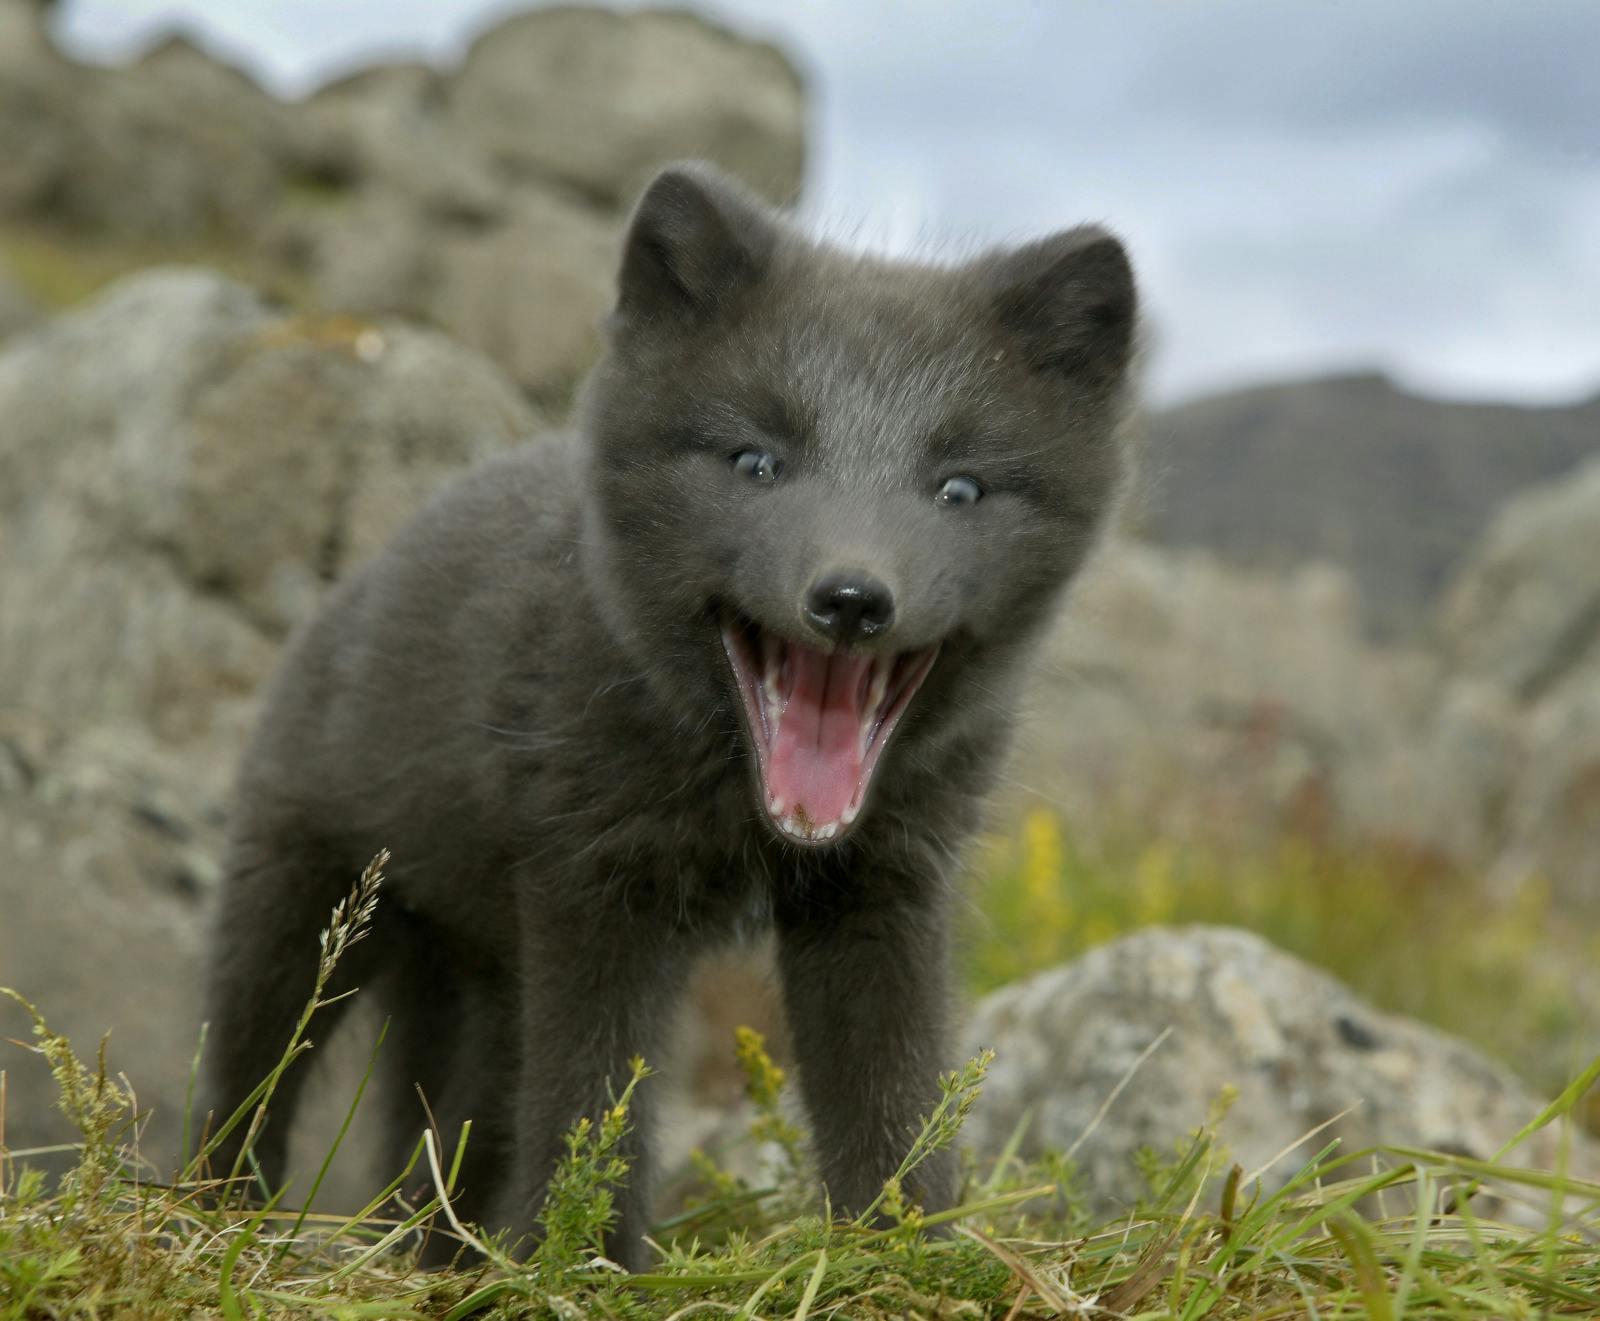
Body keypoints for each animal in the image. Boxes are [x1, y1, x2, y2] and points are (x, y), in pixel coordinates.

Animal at [203, 159, 1139, 1260]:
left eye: (959, 488)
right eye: (755, 463)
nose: (851, 598)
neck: (742, 815)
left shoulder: (887, 887)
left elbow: (890, 1098)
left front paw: (905, 1255)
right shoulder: (591, 883)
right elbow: (592, 1100)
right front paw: (576, 1261)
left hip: (474, 974)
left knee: (440, 1136)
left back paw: (437, 1254)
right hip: (302, 901)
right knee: (247, 1082)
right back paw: (217, 1214)